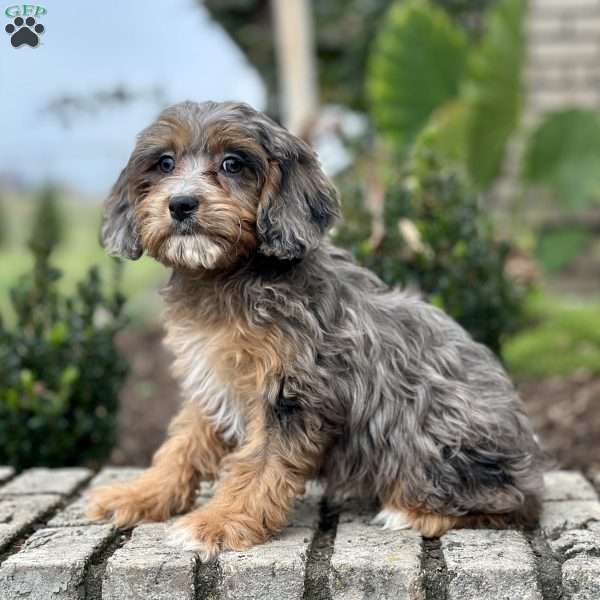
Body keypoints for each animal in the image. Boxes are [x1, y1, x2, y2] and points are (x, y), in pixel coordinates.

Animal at [89, 99, 544, 556]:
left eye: (233, 163)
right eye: (165, 163)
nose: (181, 204)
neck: (230, 276)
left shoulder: (292, 391)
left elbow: (260, 462)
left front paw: (218, 522)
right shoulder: (214, 381)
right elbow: (182, 445)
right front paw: (139, 494)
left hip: (437, 428)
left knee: (510, 503)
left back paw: (415, 511)